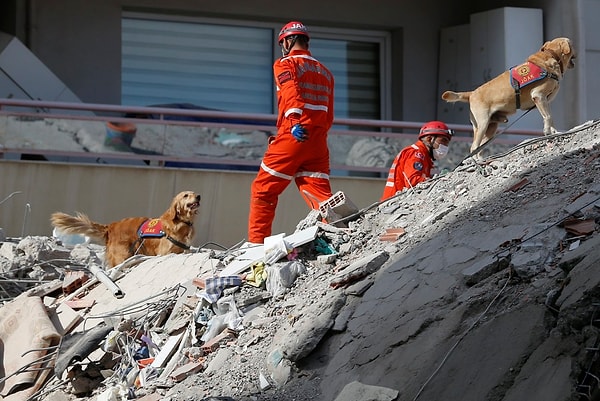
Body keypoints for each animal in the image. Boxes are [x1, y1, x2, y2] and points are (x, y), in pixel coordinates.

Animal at [440, 37, 576, 155]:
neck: (550, 55)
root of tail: (471, 93)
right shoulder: (538, 95)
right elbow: (548, 116)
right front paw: (547, 131)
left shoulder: (545, 101)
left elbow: (551, 117)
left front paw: (554, 131)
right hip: (483, 123)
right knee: (474, 147)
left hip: (491, 127)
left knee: (479, 147)